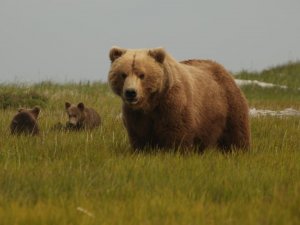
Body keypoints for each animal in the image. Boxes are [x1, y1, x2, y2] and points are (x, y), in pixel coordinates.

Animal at [108, 46, 251, 151]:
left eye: (142, 75)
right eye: (123, 74)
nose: (131, 92)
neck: (151, 103)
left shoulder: (173, 104)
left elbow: (177, 134)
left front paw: (174, 152)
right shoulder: (136, 115)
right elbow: (140, 136)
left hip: (228, 105)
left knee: (236, 133)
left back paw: (239, 150)